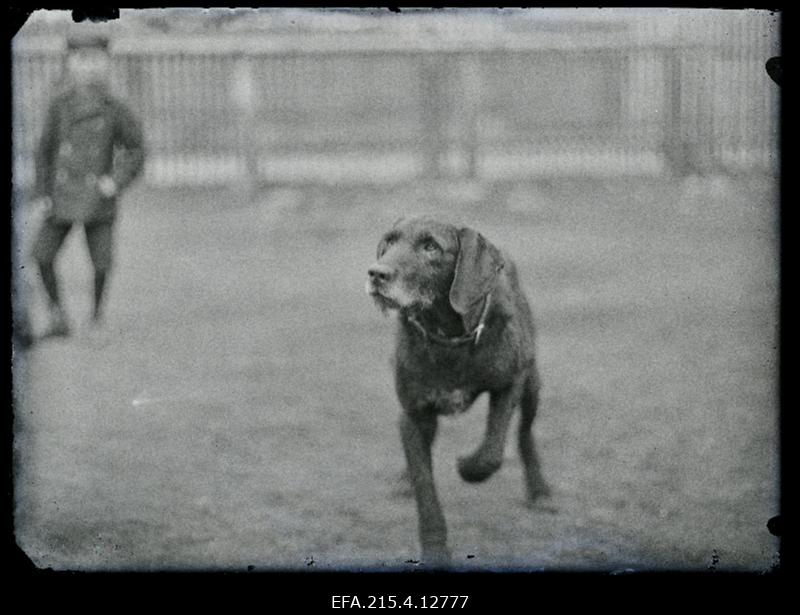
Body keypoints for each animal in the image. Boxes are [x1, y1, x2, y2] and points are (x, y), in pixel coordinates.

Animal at [364, 217, 548, 568]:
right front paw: (435, 549)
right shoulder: (415, 413)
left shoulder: (510, 382)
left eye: (431, 247)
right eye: (389, 241)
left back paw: (540, 491)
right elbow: (424, 482)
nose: (376, 273)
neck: (448, 338)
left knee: (525, 433)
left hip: (532, 384)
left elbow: (492, 450)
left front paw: (468, 467)